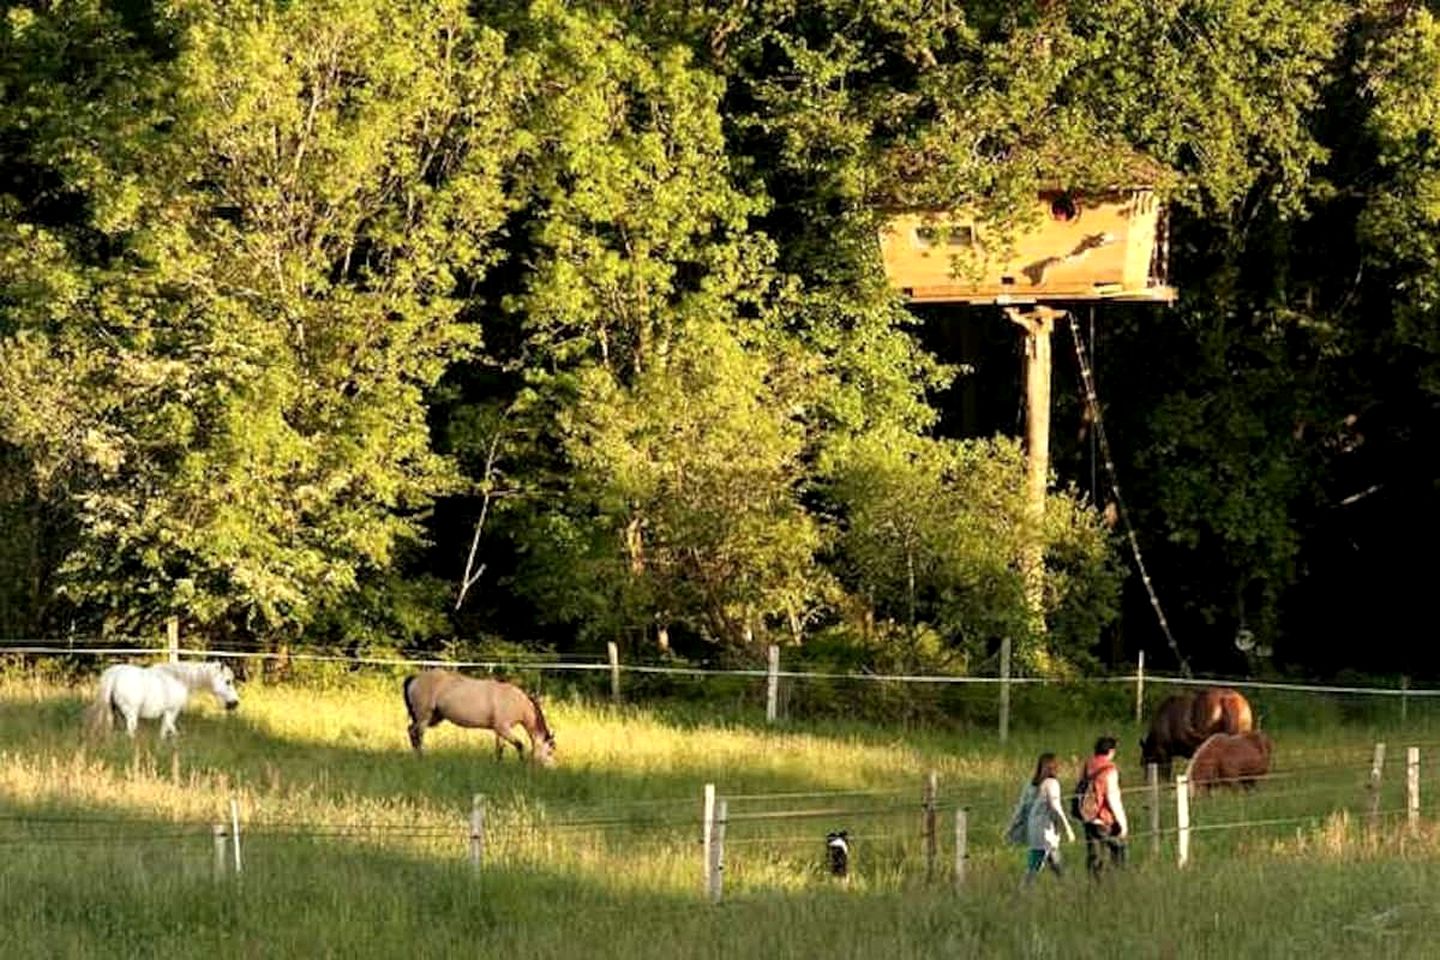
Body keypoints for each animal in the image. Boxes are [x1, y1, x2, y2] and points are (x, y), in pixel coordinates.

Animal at [84, 662, 240, 742]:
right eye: (228, 681)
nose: (234, 703)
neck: (179, 680)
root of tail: (115, 674)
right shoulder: (171, 712)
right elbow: (170, 729)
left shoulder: (167, 714)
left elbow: (164, 732)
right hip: (131, 715)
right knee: (130, 733)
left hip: (114, 714)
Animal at [411, 667, 561, 765]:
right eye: (550, 752)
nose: (551, 768)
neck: (516, 702)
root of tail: (415, 678)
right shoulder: (503, 728)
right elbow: (519, 745)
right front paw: (521, 763)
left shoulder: (500, 730)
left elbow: (500, 749)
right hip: (424, 717)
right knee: (417, 734)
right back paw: (421, 757)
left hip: (433, 717)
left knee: (411, 731)